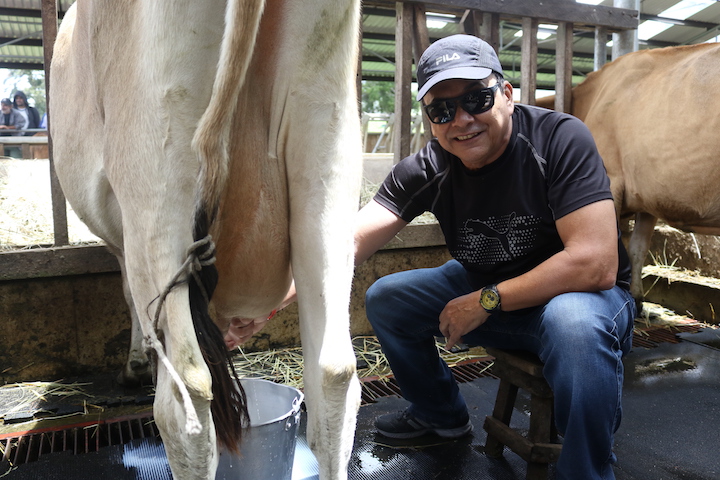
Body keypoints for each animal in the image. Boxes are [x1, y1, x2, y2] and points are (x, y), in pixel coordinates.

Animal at [49, 0, 363, 479]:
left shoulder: (125, 242)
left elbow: (130, 296)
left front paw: (136, 364)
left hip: (155, 154)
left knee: (188, 397)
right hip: (327, 139)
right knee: (333, 375)